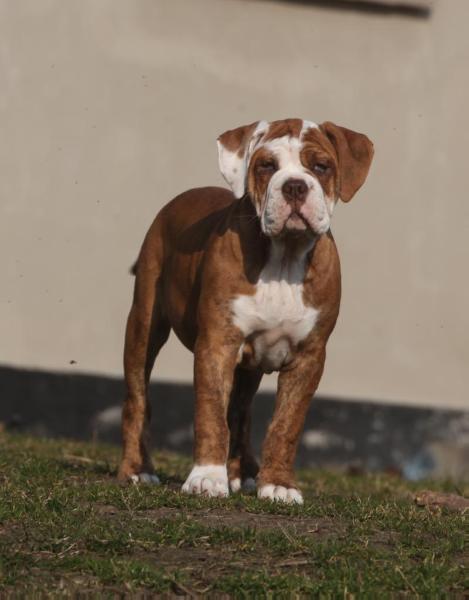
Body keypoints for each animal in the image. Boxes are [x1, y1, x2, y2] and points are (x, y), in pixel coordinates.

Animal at [118, 117, 372, 502]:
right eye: (267, 166)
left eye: (321, 167)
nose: (295, 186)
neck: (284, 257)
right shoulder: (217, 345)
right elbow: (210, 413)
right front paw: (207, 478)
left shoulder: (309, 357)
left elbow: (286, 425)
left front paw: (278, 484)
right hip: (144, 325)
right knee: (138, 398)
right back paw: (137, 470)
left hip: (248, 368)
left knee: (240, 410)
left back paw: (244, 473)